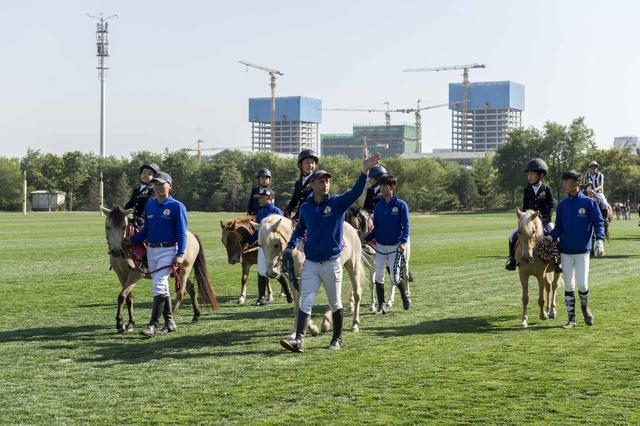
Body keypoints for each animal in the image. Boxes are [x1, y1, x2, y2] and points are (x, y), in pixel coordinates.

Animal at [101, 204, 219, 332]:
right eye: (108, 227)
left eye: (124, 227)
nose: (116, 251)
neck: (126, 249)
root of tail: (192, 236)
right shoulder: (121, 275)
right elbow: (128, 298)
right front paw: (130, 323)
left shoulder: (135, 275)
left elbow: (122, 296)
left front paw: (120, 323)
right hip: (177, 270)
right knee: (191, 288)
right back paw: (196, 316)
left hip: (185, 269)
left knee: (181, 292)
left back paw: (172, 318)